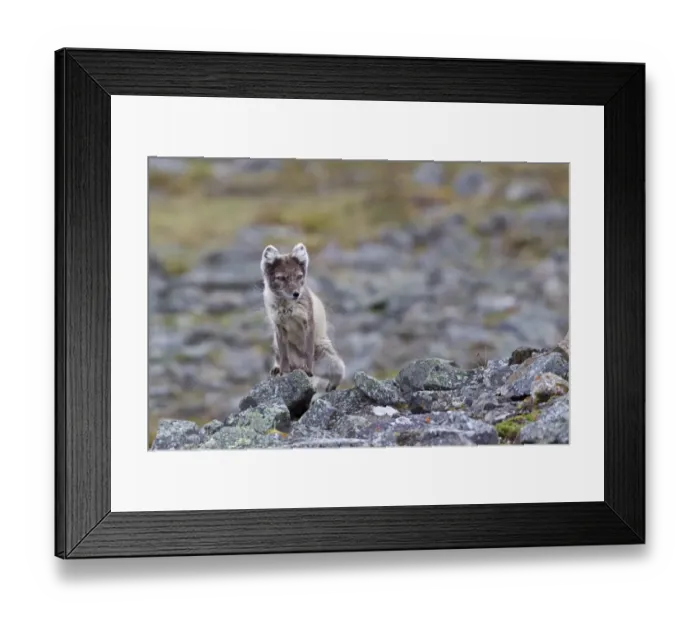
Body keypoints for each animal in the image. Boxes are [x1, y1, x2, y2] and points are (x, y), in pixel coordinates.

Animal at [261, 242, 345, 392]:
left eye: (299, 276)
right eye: (281, 278)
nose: (296, 294)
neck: (287, 307)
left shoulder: (308, 323)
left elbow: (308, 352)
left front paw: (307, 369)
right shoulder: (279, 326)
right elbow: (284, 356)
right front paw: (284, 372)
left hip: (328, 358)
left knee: (340, 369)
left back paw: (330, 384)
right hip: (276, 343)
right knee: (280, 358)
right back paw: (278, 369)